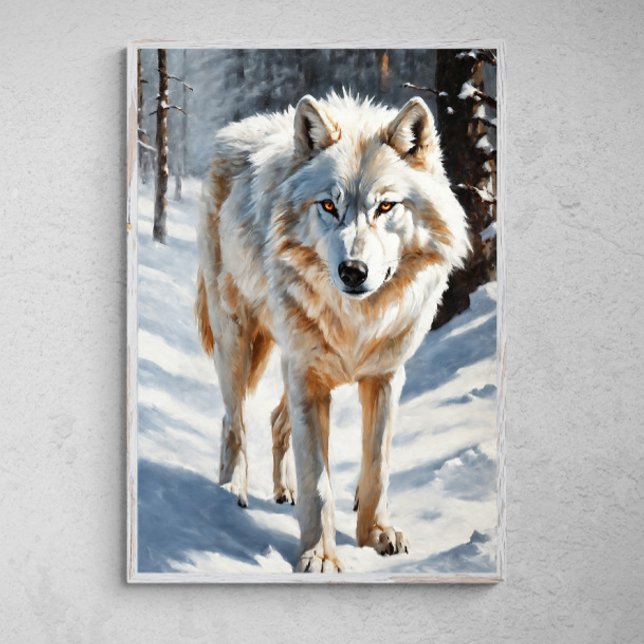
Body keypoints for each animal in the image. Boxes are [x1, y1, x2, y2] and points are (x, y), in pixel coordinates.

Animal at [195, 92, 469, 572]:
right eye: (328, 206)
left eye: (385, 206)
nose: (353, 271)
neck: (356, 322)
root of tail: (237, 130)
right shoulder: (306, 376)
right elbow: (318, 483)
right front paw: (320, 556)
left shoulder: (384, 376)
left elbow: (377, 465)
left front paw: (376, 533)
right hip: (239, 340)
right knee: (234, 420)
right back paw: (232, 493)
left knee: (274, 419)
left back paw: (281, 491)